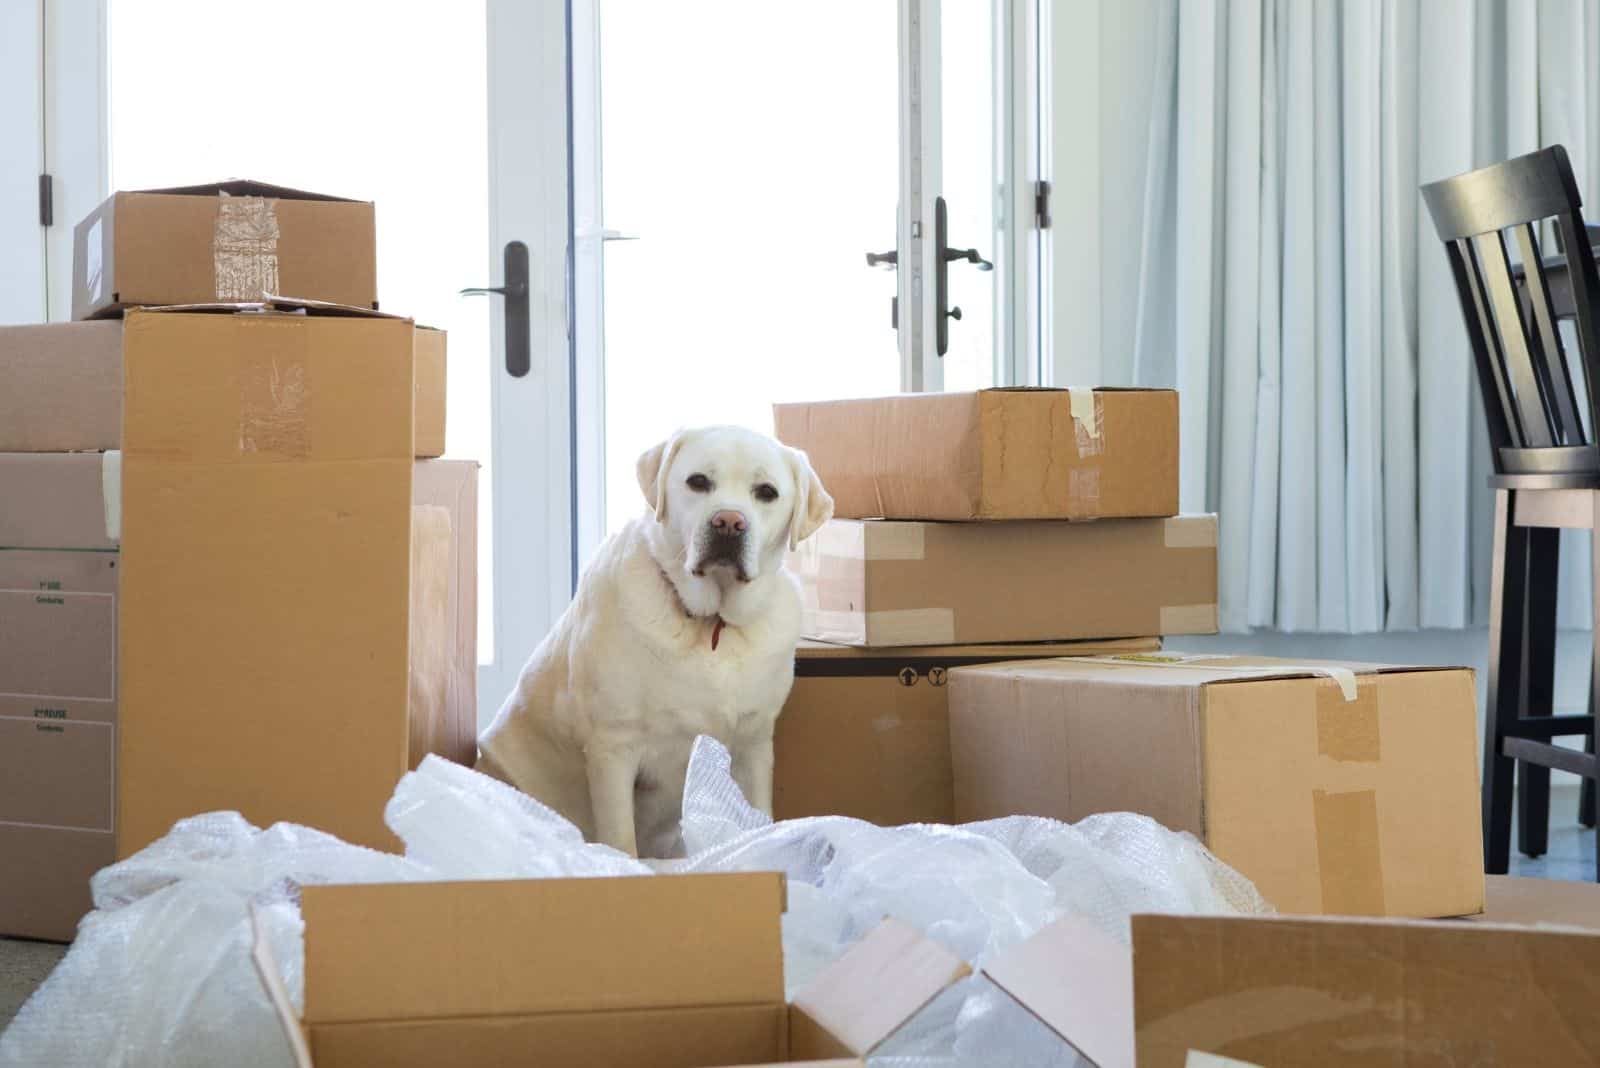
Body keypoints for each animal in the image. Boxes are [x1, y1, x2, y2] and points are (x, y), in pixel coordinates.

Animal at [473, 425, 832, 856]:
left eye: (766, 492)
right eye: (698, 482)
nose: (728, 522)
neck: (711, 623)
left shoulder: (755, 743)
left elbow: (759, 814)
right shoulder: (612, 747)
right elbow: (620, 839)